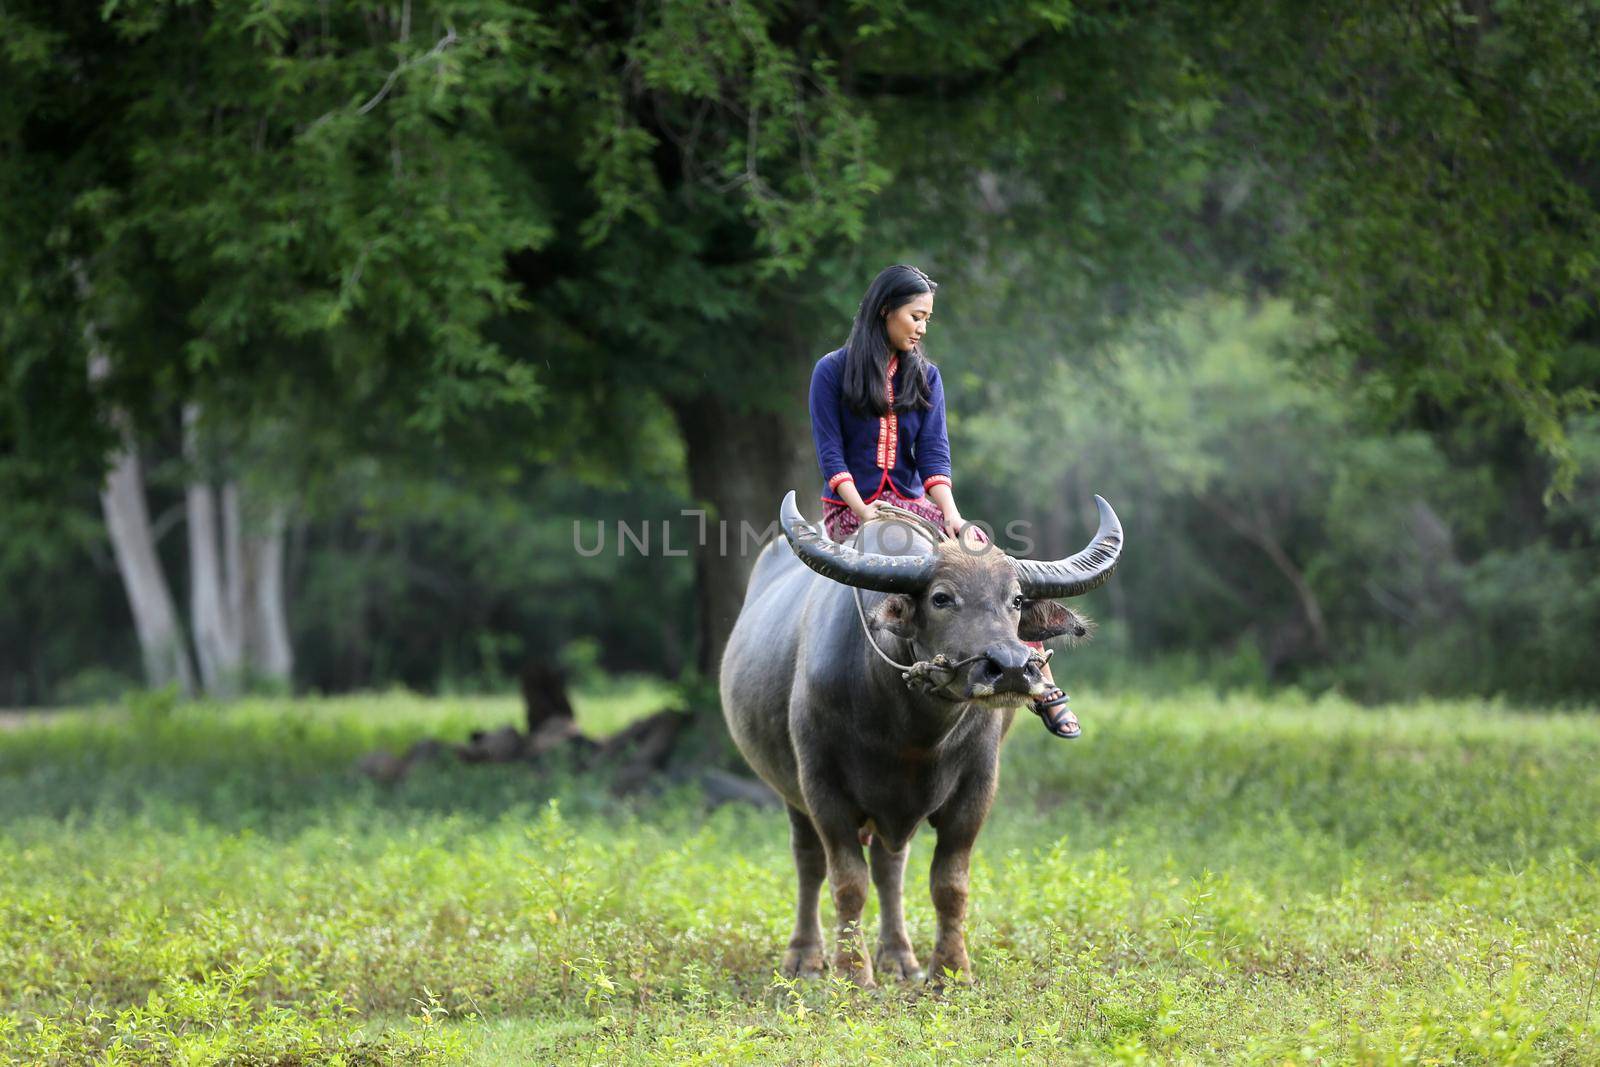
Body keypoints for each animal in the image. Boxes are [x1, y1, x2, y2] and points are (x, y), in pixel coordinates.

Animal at [720, 492, 1120, 985]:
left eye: (1016, 599)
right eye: (941, 598)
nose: (1010, 667)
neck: (909, 729)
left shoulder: (977, 786)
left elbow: (949, 883)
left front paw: (951, 971)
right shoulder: (821, 786)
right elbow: (846, 882)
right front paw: (853, 974)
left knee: (889, 868)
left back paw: (899, 958)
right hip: (790, 790)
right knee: (809, 862)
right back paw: (807, 958)